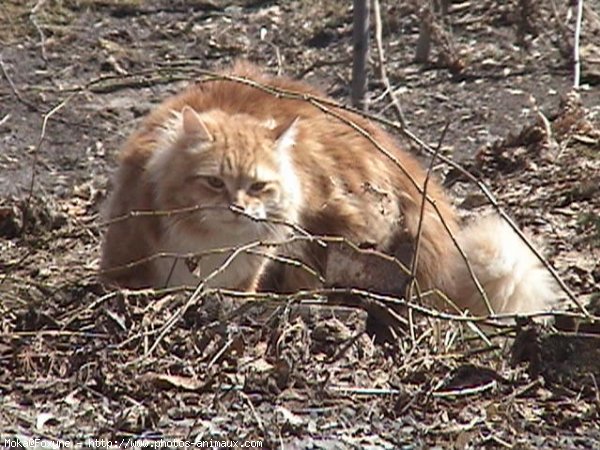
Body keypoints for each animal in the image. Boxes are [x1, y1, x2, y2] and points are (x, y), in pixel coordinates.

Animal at [101, 61, 560, 314]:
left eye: (259, 186)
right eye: (214, 183)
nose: (238, 208)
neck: (210, 246)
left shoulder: (248, 274)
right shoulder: (126, 264)